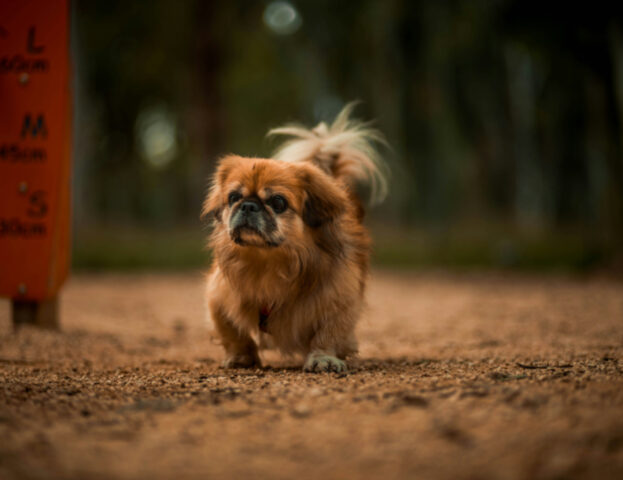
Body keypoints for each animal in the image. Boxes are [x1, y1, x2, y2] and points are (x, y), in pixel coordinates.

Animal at [202, 104, 388, 376]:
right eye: (234, 197)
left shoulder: (339, 297)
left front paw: (323, 358)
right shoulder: (219, 295)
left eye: (278, 202)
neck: (266, 262)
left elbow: (329, 332)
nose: (248, 205)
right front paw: (240, 357)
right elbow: (232, 332)